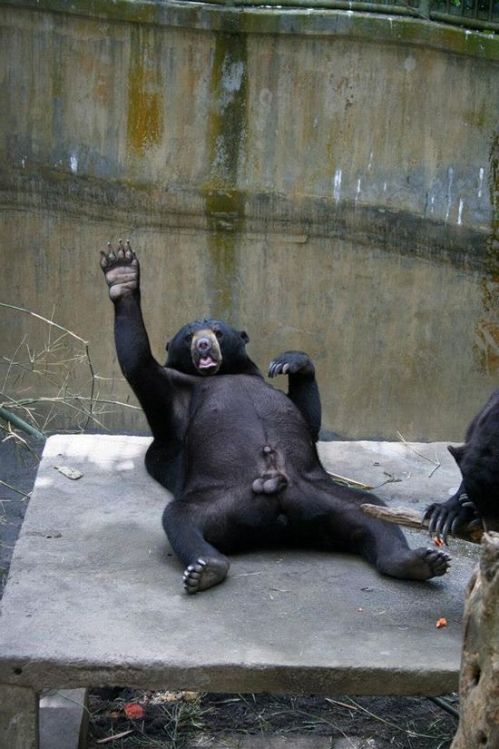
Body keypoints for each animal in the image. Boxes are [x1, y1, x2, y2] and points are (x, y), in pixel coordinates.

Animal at [101, 241, 450, 593]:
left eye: (217, 332)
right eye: (188, 337)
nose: (203, 346)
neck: (224, 373)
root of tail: (278, 514)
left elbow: (308, 420)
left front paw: (291, 362)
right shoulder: (174, 394)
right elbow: (140, 366)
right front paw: (122, 272)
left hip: (326, 494)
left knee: (373, 514)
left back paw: (417, 561)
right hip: (216, 497)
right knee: (181, 520)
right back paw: (206, 567)